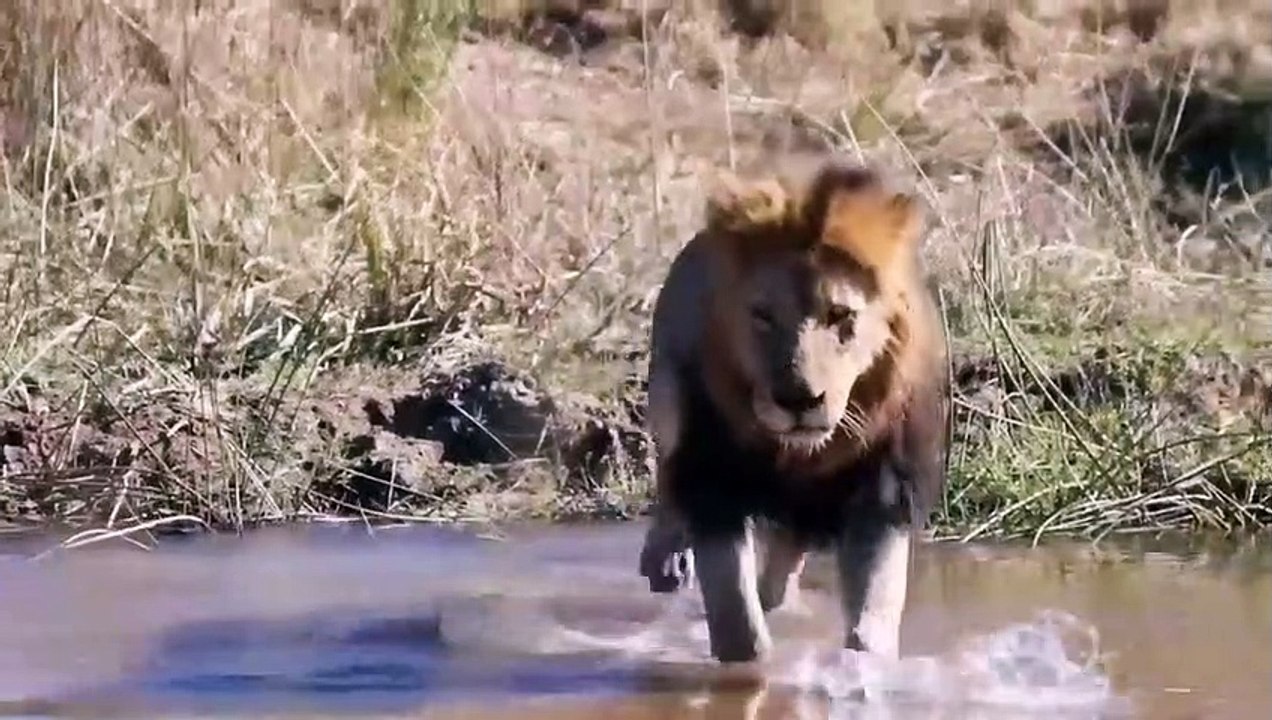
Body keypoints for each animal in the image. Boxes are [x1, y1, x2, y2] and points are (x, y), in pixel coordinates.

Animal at [637, 156, 950, 664]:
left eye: (841, 317)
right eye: (762, 316)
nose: (799, 399)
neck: (797, 453)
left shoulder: (884, 494)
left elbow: (871, 621)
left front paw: (863, 668)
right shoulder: (714, 482)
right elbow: (739, 623)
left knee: (780, 576)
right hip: (668, 399)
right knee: (668, 477)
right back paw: (664, 558)